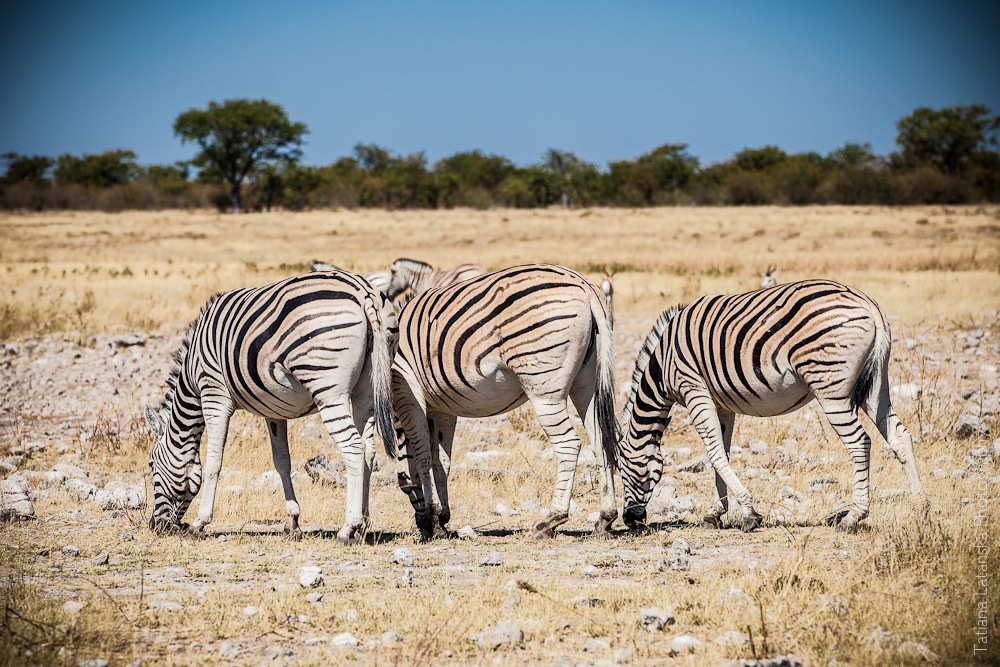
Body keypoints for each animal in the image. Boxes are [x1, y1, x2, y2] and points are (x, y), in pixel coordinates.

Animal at [145, 272, 398, 544]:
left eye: (151, 465)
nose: (154, 526)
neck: (192, 374)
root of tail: (364, 291)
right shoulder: (274, 410)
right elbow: (282, 461)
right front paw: (292, 522)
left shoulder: (214, 395)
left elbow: (213, 462)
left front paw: (200, 523)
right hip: (367, 390)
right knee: (369, 451)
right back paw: (363, 525)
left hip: (328, 388)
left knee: (353, 447)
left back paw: (348, 527)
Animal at [390, 264, 616, 540]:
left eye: (404, 486)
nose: (421, 528)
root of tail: (585, 285)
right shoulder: (442, 409)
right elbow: (440, 461)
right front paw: (442, 519)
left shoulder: (408, 393)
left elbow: (422, 457)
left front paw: (434, 519)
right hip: (586, 382)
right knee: (601, 440)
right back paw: (605, 518)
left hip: (544, 388)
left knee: (569, 444)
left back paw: (550, 521)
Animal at [616, 280, 928, 536]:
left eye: (621, 469)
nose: (630, 521)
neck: (662, 366)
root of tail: (867, 303)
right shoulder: (722, 405)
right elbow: (722, 454)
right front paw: (716, 512)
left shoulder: (693, 388)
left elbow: (714, 454)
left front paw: (749, 513)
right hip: (876, 383)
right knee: (900, 436)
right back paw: (921, 507)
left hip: (830, 387)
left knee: (859, 442)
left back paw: (853, 518)